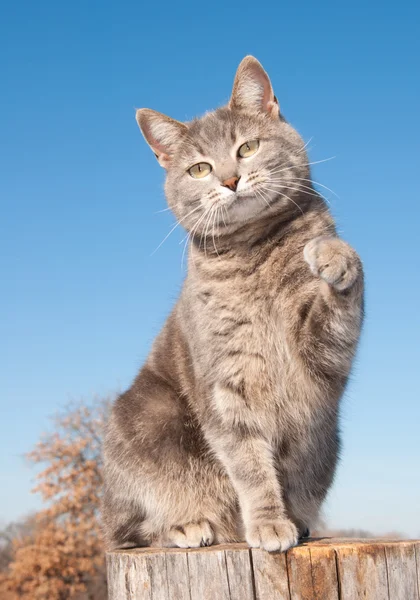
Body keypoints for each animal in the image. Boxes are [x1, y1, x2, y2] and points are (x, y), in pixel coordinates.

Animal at [100, 56, 362, 552]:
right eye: (199, 169)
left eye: (248, 147)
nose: (229, 179)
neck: (253, 249)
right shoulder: (227, 383)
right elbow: (249, 465)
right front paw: (268, 523)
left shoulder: (320, 352)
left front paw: (332, 254)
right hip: (144, 419)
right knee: (130, 531)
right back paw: (188, 525)